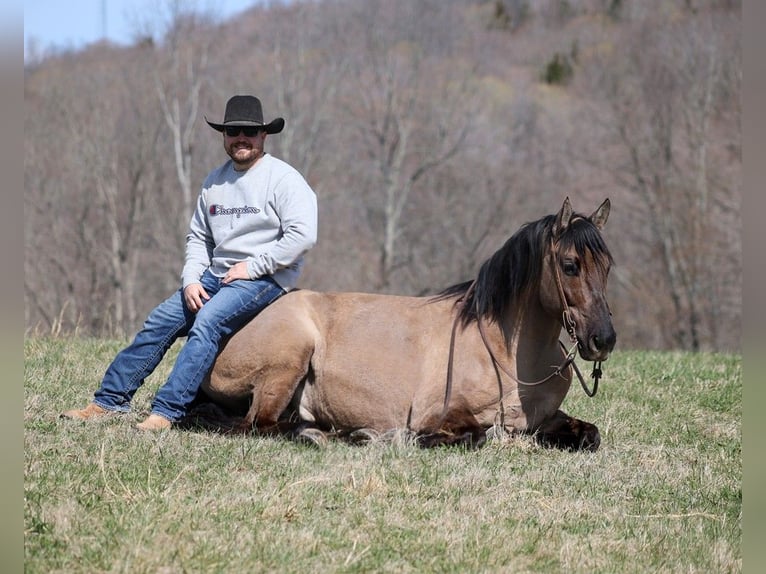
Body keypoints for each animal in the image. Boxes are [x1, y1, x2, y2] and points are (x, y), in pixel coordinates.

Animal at [198, 198, 616, 454]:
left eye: (607, 266)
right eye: (570, 265)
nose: (603, 340)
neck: (504, 354)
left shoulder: (547, 419)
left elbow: (589, 435)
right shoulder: (440, 415)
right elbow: (474, 435)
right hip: (288, 362)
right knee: (261, 424)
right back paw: (342, 434)